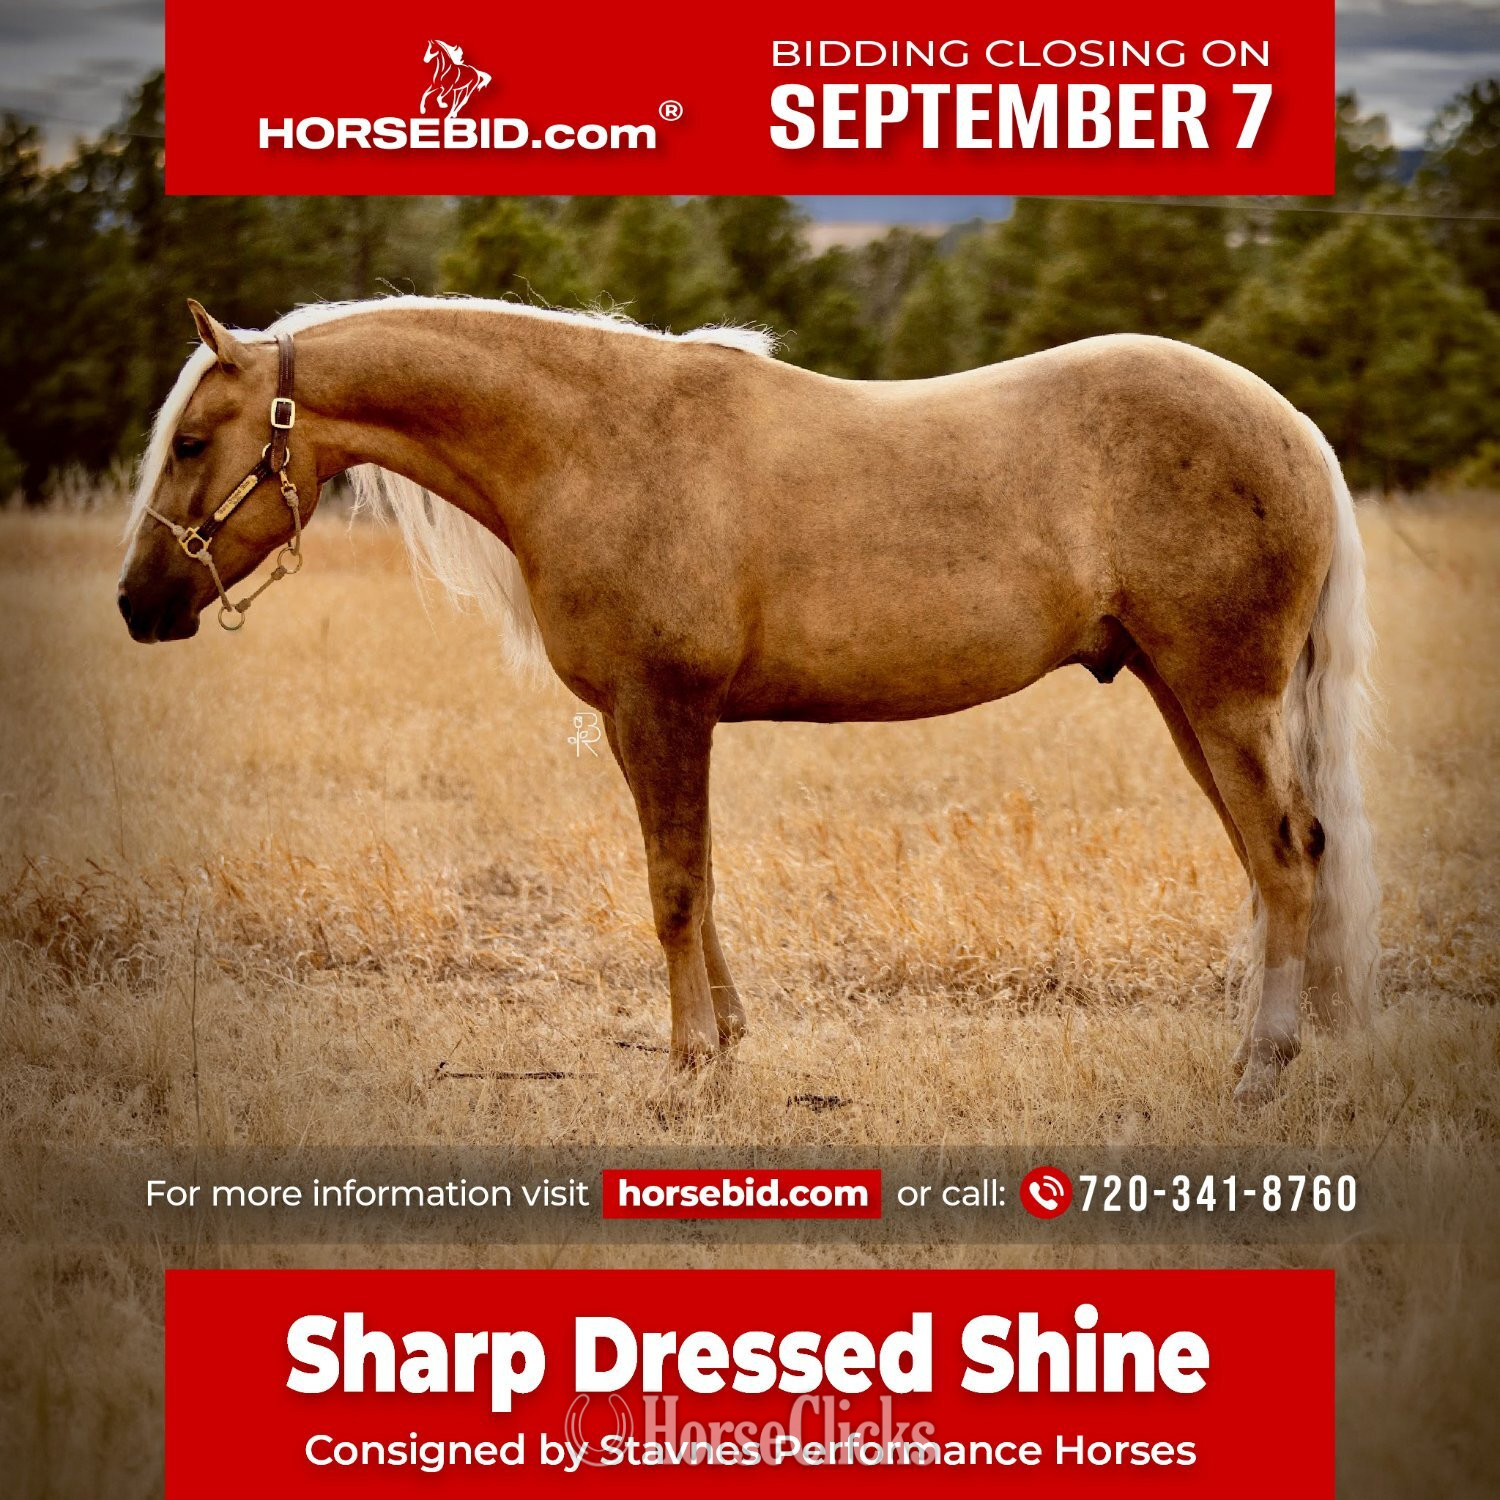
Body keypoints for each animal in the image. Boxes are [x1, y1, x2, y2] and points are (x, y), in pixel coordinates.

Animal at [118, 296, 1381, 1105]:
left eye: (192, 439)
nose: (138, 603)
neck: (597, 442)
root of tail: (1293, 427)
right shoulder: (658, 722)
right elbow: (702, 881)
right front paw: (723, 1048)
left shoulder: (659, 709)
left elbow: (673, 890)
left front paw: (685, 1076)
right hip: (1183, 697)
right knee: (1276, 859)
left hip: (1222, 697)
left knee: (1284, 859)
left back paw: (1261, 1073)